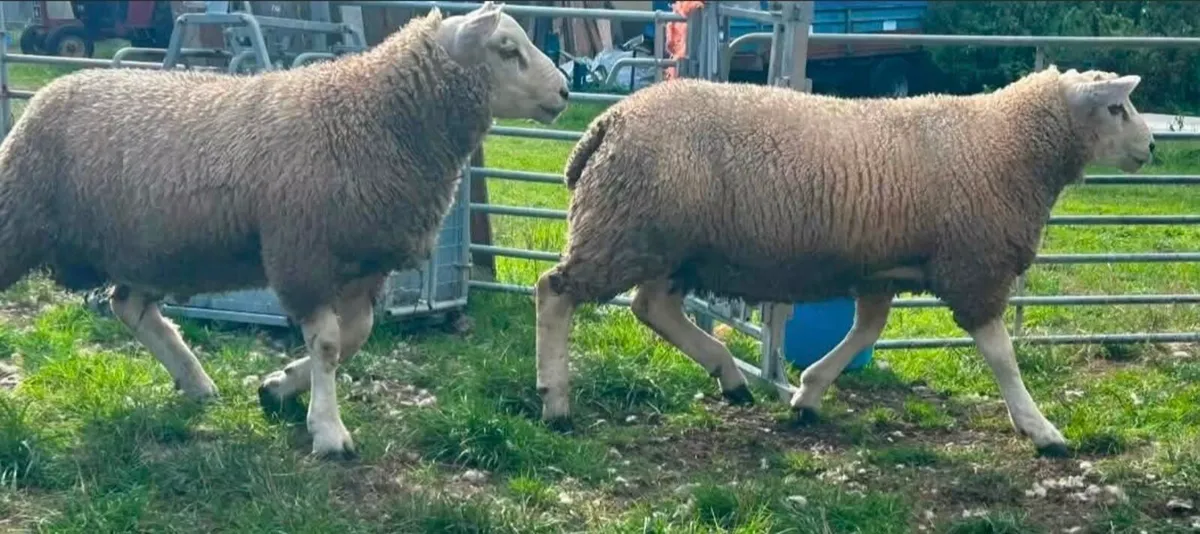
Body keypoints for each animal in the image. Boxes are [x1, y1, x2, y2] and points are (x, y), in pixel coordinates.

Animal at [0, 1, 570, 460]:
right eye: (507, 49)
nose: (565, 91)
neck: (372, 114)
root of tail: (54, 86)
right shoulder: (303, 252)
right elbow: (328, 344)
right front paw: (329, 431)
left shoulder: (362, 264)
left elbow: (354, 338)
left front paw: (277, 388)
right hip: (19, 218)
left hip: (151, 246)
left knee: (130, 307)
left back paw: (195, 380)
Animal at [534, 66, 1154, 457]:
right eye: (1116, 107)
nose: (1151, 148)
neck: (1009, 144)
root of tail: (608, 122)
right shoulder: (974, 266)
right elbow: (1002, 358)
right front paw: (1040, 429)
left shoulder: (880, 268)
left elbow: (866, 332)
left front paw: (808, 394)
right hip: (626, 229)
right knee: (555, 291)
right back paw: (556, 401)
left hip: (668, 241)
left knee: (652, 307)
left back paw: (730, 376)